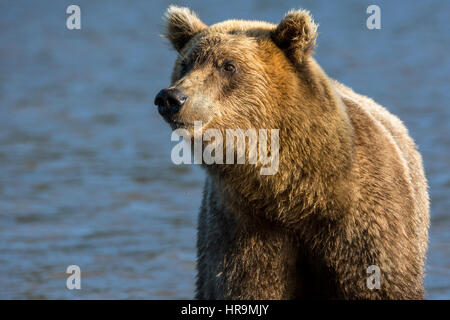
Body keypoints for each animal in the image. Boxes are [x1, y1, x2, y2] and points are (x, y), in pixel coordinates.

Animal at [155, 5, 428, 300]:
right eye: (185, 63)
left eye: (228, 65)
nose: (171, 98)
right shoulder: (244, 226)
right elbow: (249, 284)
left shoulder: (365, 221)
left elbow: (379, 283)